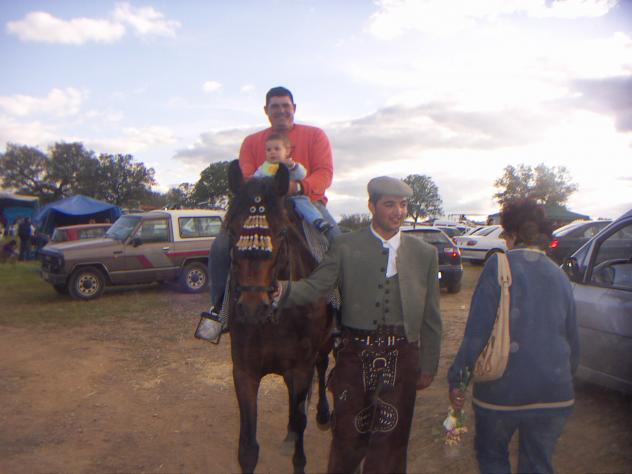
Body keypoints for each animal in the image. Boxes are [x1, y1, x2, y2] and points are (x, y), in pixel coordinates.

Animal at [224, 160, 334, 474]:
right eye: (231, 231)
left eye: (283, 232)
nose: (252, 307)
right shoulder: (244, 371)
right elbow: (248, 449)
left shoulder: (301, 368)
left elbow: (300, 423)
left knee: (323, 366)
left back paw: (323, 414)